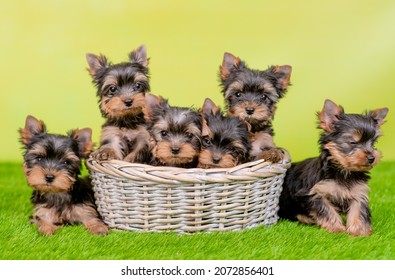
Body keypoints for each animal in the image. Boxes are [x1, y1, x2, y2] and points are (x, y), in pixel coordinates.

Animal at [280, 99, 388, 235]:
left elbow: (358, 210)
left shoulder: (358, 193)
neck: (344, 171)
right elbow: (327, 210)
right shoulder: (315, 193)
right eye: (353, 142)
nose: (371, 158)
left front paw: (358, 231)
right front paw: (336, 228)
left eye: (373, 143)